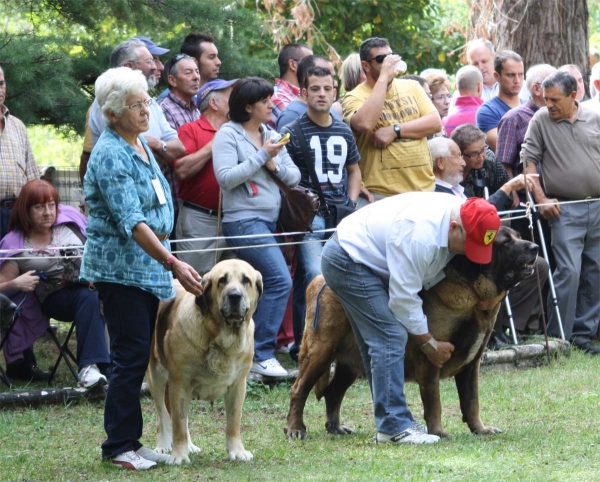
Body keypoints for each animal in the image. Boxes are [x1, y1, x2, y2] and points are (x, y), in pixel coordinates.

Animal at [146, 262, 262, 466]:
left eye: (246, 280)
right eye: (222, 280)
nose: (235, 296)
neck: (221, 338)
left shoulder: (238, 386)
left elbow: (234, 422)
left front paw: (237, 451)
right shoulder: (179, 384)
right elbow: (177, 424)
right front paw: (178, 455)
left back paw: (190, 446)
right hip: (156, 376)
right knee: (164, 415)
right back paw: (164, 444)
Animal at [286, 228, 540, 438]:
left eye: (517, 236)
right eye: (505, 242)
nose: (536, 247)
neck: (475, 300)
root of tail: (318, 280)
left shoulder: (471, 365)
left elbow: (471, 401)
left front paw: (480, 429)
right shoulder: (429, 362)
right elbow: (434, 402)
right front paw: (438, 432)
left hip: (351, 363)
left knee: (333, 393)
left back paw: (335, 427)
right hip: (320, 352)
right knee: (298, 389)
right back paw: (295, 429)